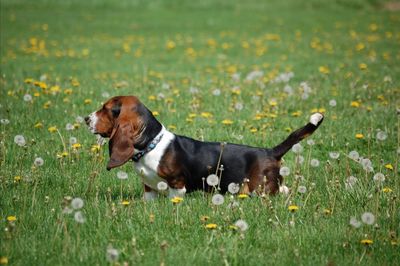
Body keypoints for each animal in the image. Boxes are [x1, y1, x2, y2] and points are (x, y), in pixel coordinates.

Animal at [83, 96, 322, 200]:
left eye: (106, 109)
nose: (85, 119)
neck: (151, 145)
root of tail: (270, 151)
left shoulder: (177, 184)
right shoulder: (149, 188)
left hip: (257, 189)